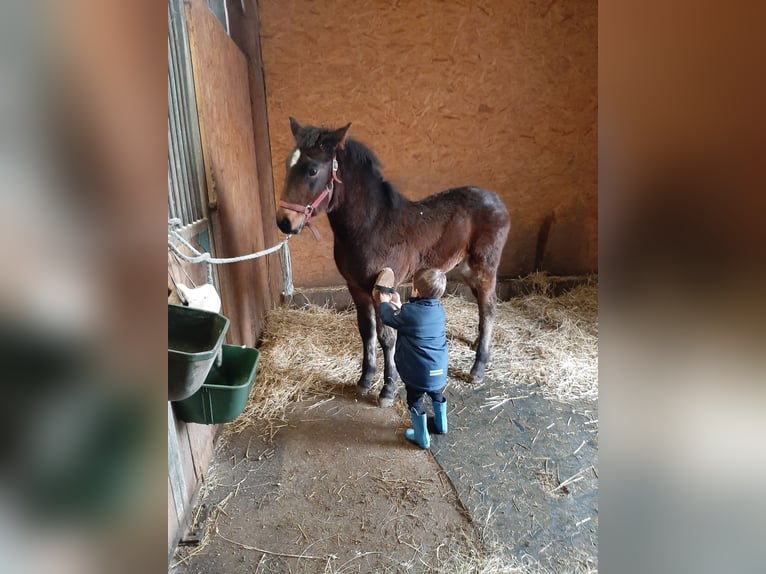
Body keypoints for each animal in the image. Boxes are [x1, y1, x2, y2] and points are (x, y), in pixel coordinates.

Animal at [280, 119, 512, 410]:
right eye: (288, 164)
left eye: (312, 170)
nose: (284, 222)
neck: (372, 225)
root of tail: (498, 201)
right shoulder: (356, 287)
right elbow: (366, 332)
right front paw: (364, 380)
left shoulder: (382, 287)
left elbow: (386, 337)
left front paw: (387, 390)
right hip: (467, 268)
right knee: (483, 306)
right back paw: (480, 347)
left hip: (485, 268)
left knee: (489, 308)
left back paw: (478, 367)